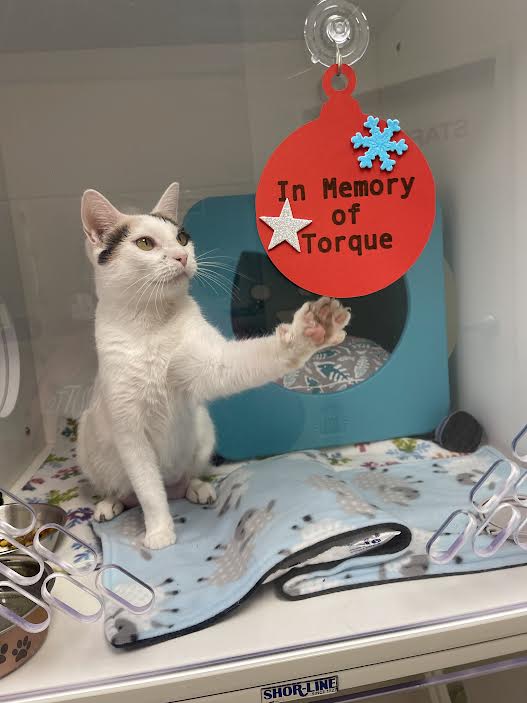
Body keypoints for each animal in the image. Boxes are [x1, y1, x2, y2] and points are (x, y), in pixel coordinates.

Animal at [77, 183, 351, 549]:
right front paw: (159, 531)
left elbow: (249, 360)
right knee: (129, 490)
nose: (182, 257)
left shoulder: (210, 363)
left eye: (181, 238)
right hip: (88, 443)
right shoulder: (130, 431)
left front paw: (309, 332)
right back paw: (110, 503)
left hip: (203, 428)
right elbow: (149, 490)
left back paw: (196, 487)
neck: (153, 323)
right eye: (145, 243)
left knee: (182, 480)